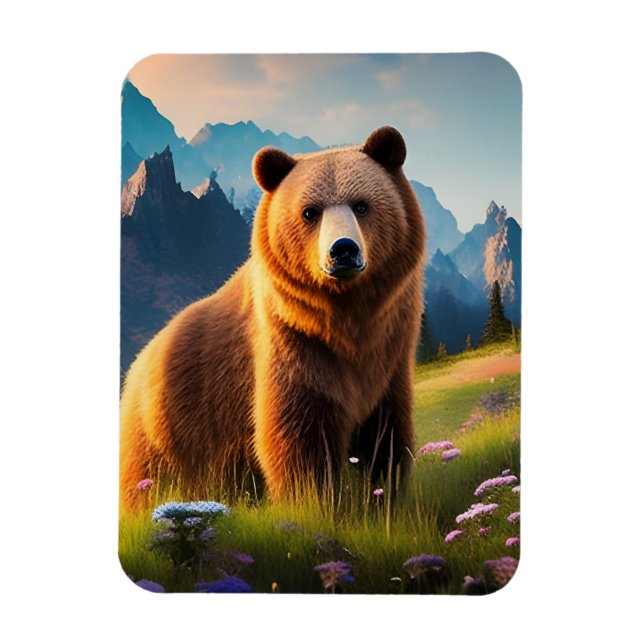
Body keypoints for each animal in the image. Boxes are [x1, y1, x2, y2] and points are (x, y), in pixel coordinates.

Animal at [120, 126, 426, 510]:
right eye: (310, 212)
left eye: (361, 205)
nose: (343, 250)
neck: (346, 316)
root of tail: (134, 369)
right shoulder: (291, 341)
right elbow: (298, 434)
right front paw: (315, 500)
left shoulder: (390, 350)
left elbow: (386, 431)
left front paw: (384, 493)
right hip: (164, 434)